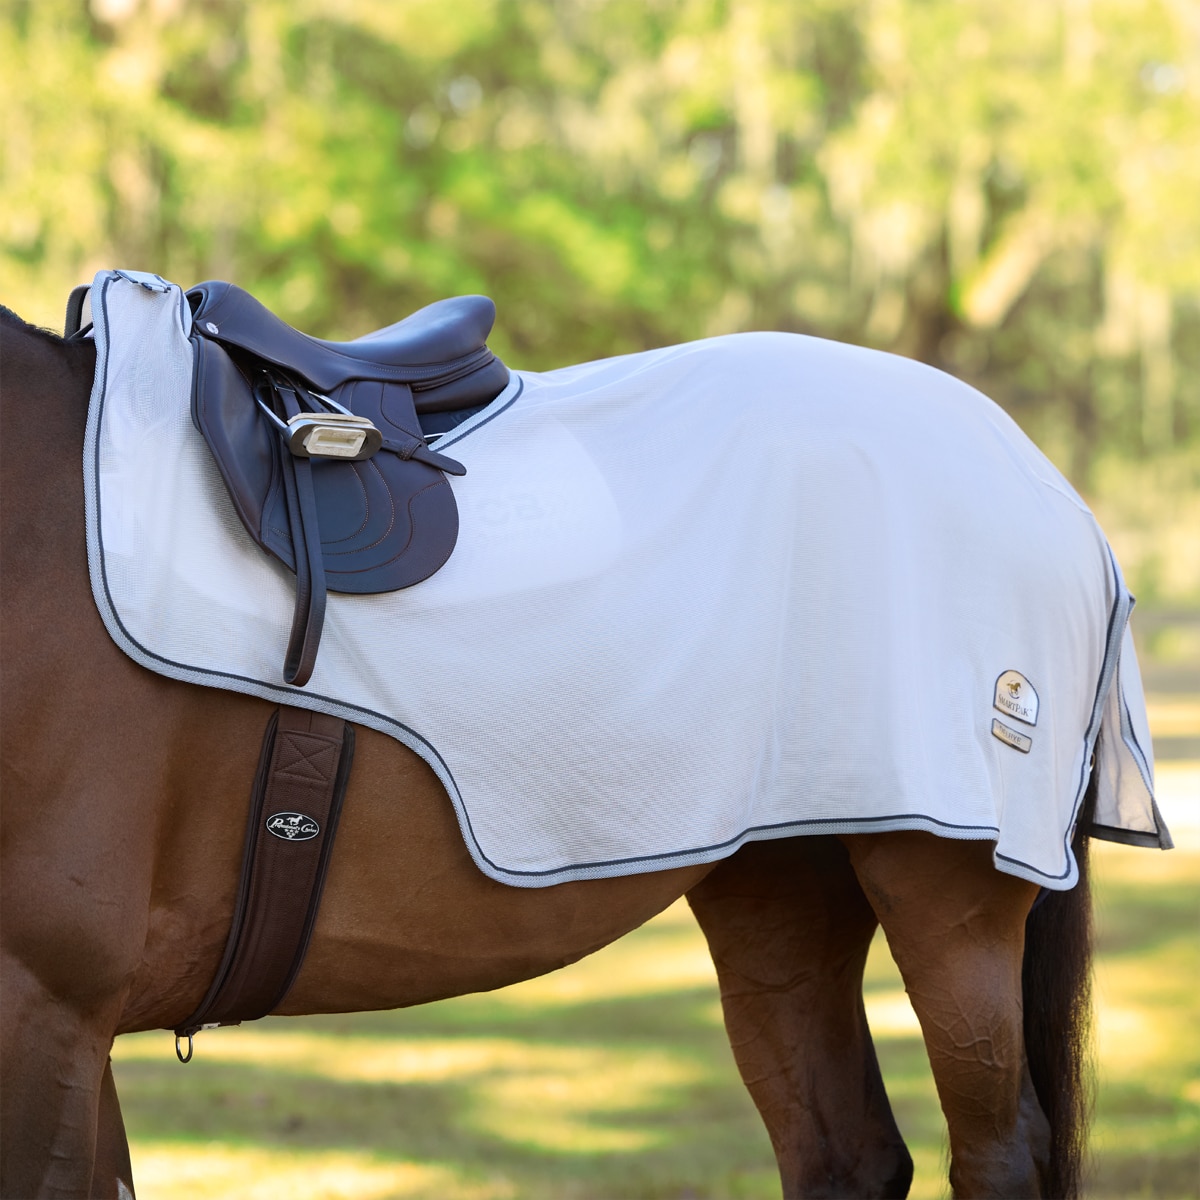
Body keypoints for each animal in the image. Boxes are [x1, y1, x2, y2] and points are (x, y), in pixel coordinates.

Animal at [0, 302, 1095, 1200]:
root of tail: (1035, 471)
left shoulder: (48, 998)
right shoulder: (72, 1020)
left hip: (949, 899)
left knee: (998, 1156)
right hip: (782, 882)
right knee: (845, 1153)